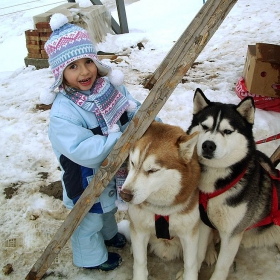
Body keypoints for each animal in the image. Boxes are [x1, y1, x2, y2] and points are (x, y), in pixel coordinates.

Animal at [120, 122, 201, 280]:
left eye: (152, 170)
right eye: (132, 163)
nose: (124, 195)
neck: (161, 210)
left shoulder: (189, 235)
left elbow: (190, 265)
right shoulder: (139, 231)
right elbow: (140, 263)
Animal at [187, 89, 280, 280]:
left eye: (228, 131)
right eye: (204, 126)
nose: (208, 145)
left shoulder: (233, 234)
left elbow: (222, 267)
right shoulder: (204, 222)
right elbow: (199, 252)